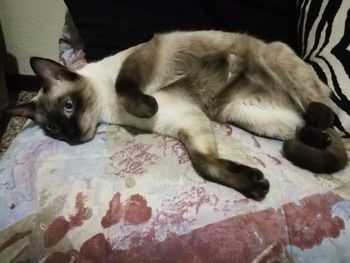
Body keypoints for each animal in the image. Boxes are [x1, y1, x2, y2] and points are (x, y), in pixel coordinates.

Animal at [3, 29, 348, 201]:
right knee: (310, 131)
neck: (108, 108)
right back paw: (313, 137)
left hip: (275, 58)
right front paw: (254, 184)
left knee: (324, 110)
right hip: (249, 114)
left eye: (68, 106)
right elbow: (204, 164)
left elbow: (126, 87)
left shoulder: (140, 63)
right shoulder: (188, 120)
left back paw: (319, 117)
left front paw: (147, 105)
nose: (73, 136)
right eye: (53, 128)